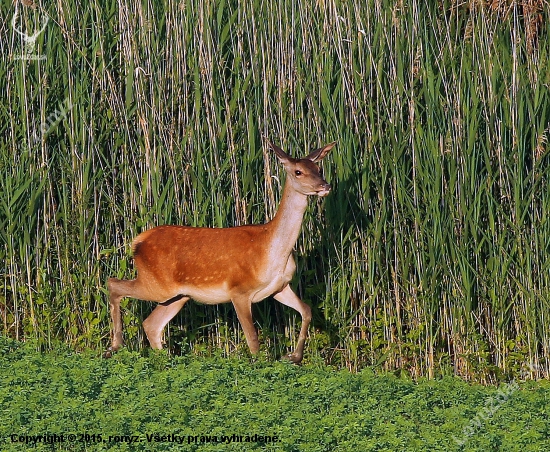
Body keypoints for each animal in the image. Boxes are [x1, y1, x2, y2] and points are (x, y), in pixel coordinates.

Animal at [105, 140, 334, 364]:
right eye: (298, 172)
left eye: (319, 169)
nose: (325, 186)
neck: (273, 251)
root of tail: (138, 241)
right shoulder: (239, 290)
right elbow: (253, 340)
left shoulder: (280, 286)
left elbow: (306, 310)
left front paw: (294, 356)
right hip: (157, 284)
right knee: (113, 283)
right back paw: (115, 346)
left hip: (177, 295)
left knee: (151, 324)